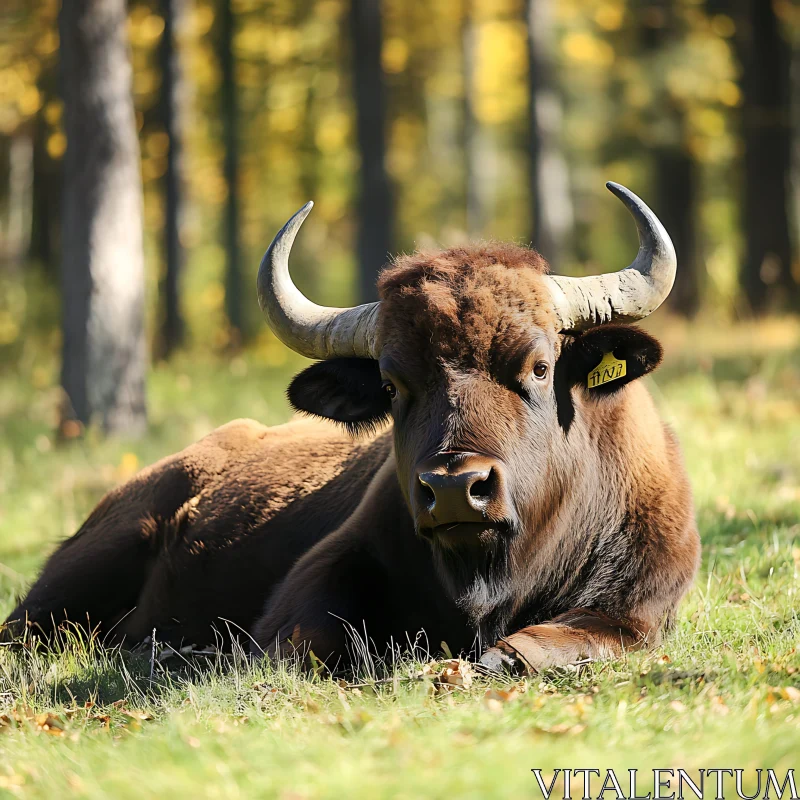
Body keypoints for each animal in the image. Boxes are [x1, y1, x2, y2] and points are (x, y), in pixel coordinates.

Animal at [3, 184, 696, 672]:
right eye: (391, 384)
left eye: (541, 365)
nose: (455, 489)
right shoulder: (323, 571)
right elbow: (306, 639)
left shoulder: (640, 606)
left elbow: (540, 644)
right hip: (78, 574)